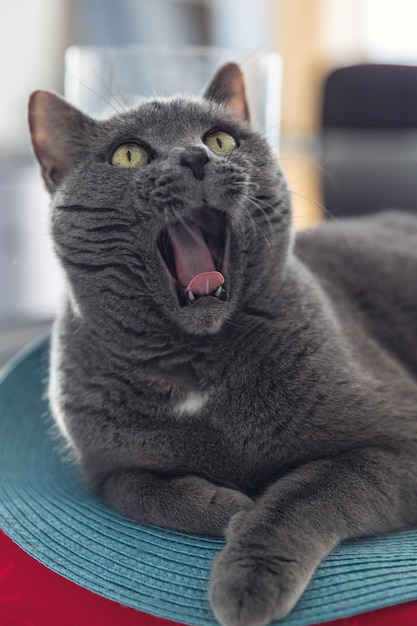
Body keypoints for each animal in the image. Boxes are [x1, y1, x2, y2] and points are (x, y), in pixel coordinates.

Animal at [27, 64, 416, 624]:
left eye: (220, 139)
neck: (196, 363)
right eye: (129, 154)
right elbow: (138, 490)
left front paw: (248, 577)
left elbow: (311, 489)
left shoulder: (399, 436)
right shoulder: (104, 468)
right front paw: (228, 505)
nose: (196, 157)